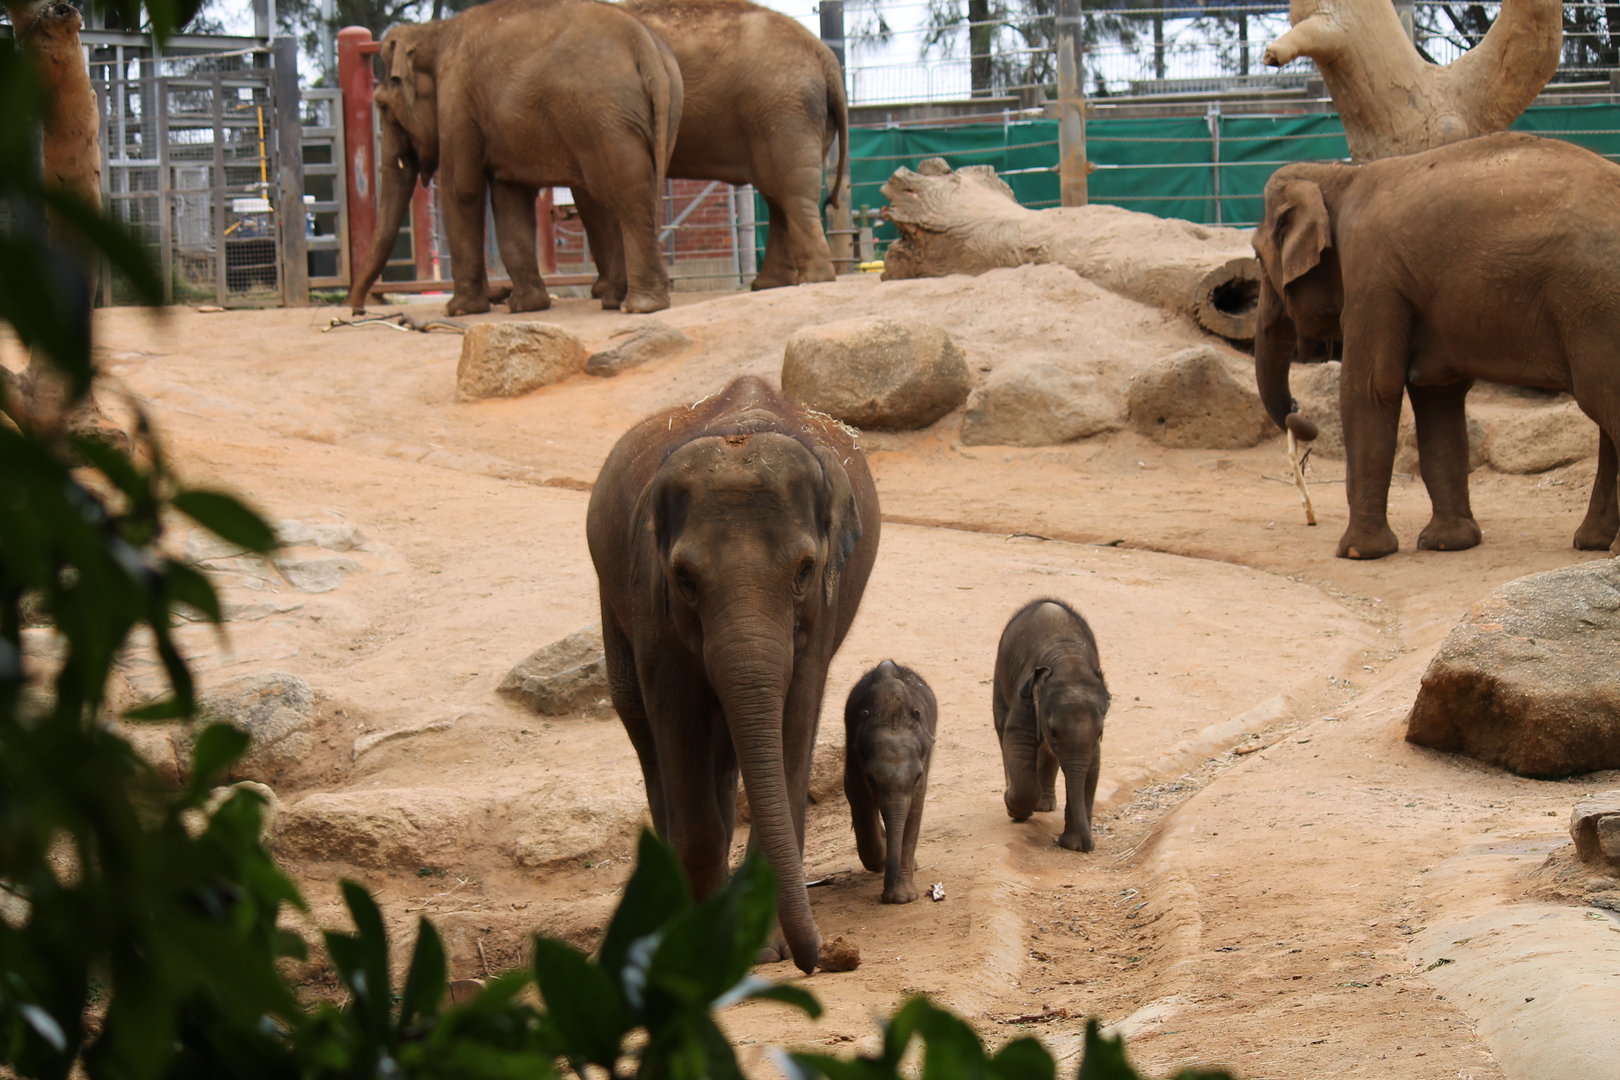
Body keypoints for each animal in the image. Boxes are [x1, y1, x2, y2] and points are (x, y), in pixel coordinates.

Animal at [346, 0, 682, 317]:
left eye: (383, 106)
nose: (358, 309)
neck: (432, 32)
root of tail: (646, 45)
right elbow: (510, 198)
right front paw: (525, 306)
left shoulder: (456, 100)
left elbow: (462, 189)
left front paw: (460, 310)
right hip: (656, 116)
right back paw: (617, 300)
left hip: (603, 120)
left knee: (622, 193)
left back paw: (639, 305)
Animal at [586, 375, 880, 973]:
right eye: (684, 577)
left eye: (805, 570)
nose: (838, 955)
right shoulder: (653, 602)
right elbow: (676, 718)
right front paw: (705, 958)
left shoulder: (821, 612)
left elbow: (794, 721)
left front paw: (760, 950)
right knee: (641, 723)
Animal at [843, 660, 937, 905]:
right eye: (871, 778)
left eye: (916, 777)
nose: (885, 897)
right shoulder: (855, 756)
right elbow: (858, 796)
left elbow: (914, 809)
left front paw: (903, 898)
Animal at [992, 599, 1110, 853]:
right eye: (1054, 732)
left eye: (1100, 732)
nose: (1089, 846)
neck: (1069, 661)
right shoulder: (1025, 697)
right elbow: (1017, 741)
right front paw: (1013, 809)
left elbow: (1092, 768)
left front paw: (1073, 845)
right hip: (1000, 678)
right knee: (1002, 731)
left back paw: (1044, 806)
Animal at [1253, 132, 1620, 560]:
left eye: (1257, 256)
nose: (1299, 414)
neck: (1339, 175)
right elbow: (1437, 396)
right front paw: (1449, 544)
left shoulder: (1373, 276)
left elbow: (1370, 388)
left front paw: (1359, 552)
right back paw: (1593, 542)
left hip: (1594, 303)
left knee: (1601, 400)